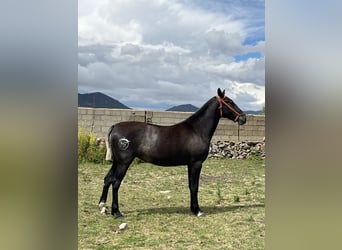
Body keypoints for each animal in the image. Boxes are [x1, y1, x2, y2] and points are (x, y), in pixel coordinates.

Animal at [99, 89, 246, 218]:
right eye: (229, 101)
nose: (243, 118)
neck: (197, 130)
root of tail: (115, 127)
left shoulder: (190, 164)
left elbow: (190, 185)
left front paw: (193, 209)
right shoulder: (196, 163)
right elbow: (195, 186)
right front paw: (198, 211)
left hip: (117, 162)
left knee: (108, 179)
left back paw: (103, 206)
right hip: (124, 163)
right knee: (116, 183)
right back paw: (117, 212)